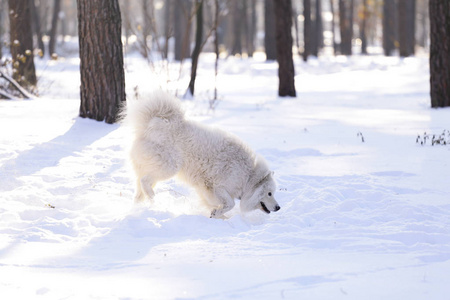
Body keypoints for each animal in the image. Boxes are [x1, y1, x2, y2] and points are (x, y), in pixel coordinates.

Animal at [121, 91, 280, 218]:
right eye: (270, 193)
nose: (278, 207)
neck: (248, 176)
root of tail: (150, 125)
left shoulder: (206, 188)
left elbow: (217, 204)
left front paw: (217, 215)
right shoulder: (218, 186)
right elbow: (230, 203)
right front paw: (218, 213)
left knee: (139, 191)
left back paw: (140, 208)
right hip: (170, 168)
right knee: (145, 181)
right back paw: (153, 198)